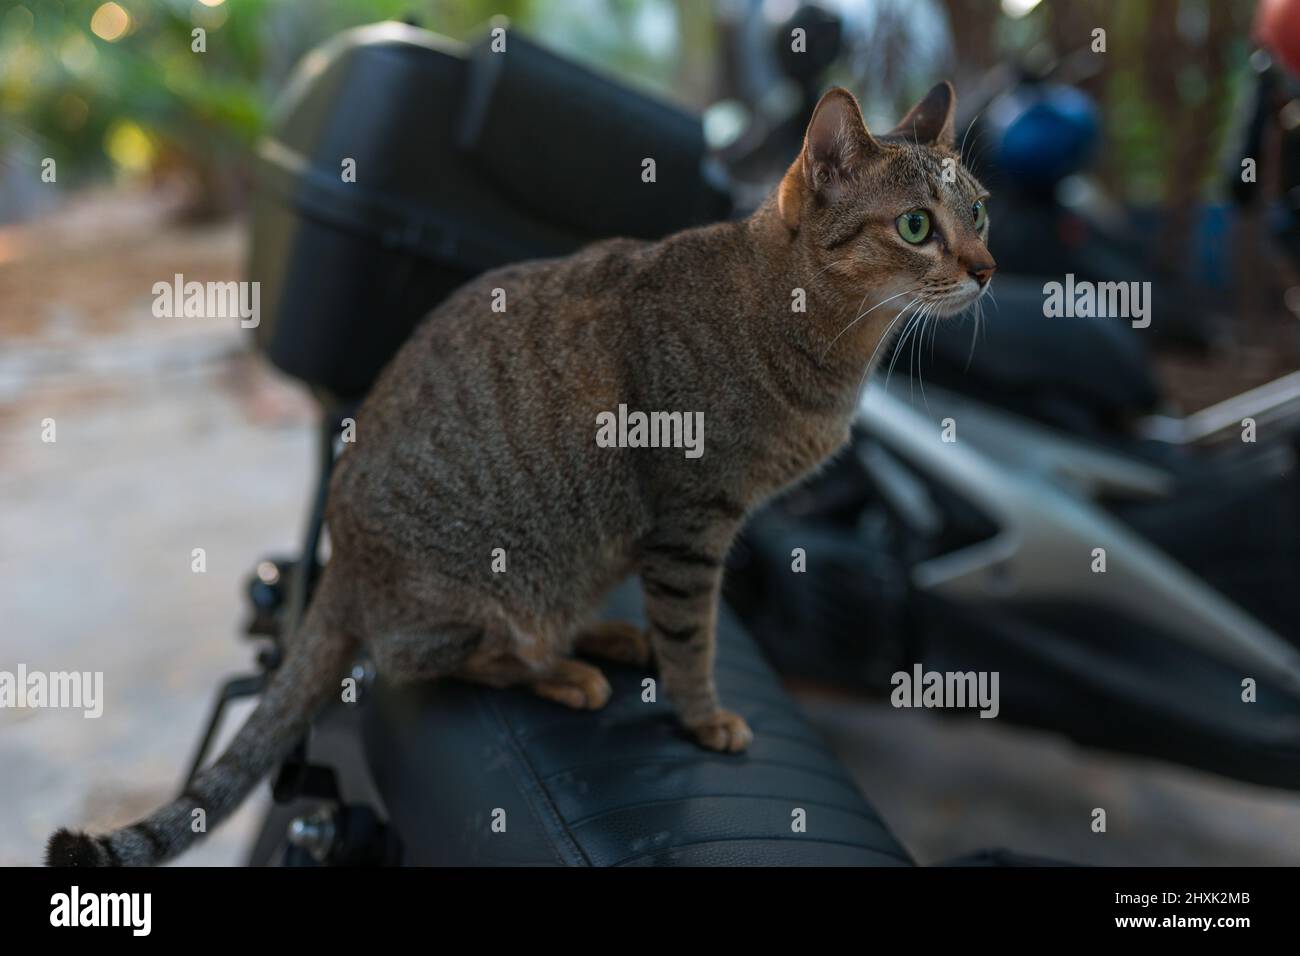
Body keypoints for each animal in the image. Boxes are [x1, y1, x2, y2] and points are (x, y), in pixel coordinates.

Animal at [45, 83, 987, 868]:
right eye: (916, 226)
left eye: (979, 212)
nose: (986, 268)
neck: (816, 330)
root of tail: (336, 565)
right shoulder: (692, 521)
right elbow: (695, 638)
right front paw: (703, 714)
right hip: (479, 590)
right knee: (439, 661)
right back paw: (561, 669)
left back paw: (600, 636)